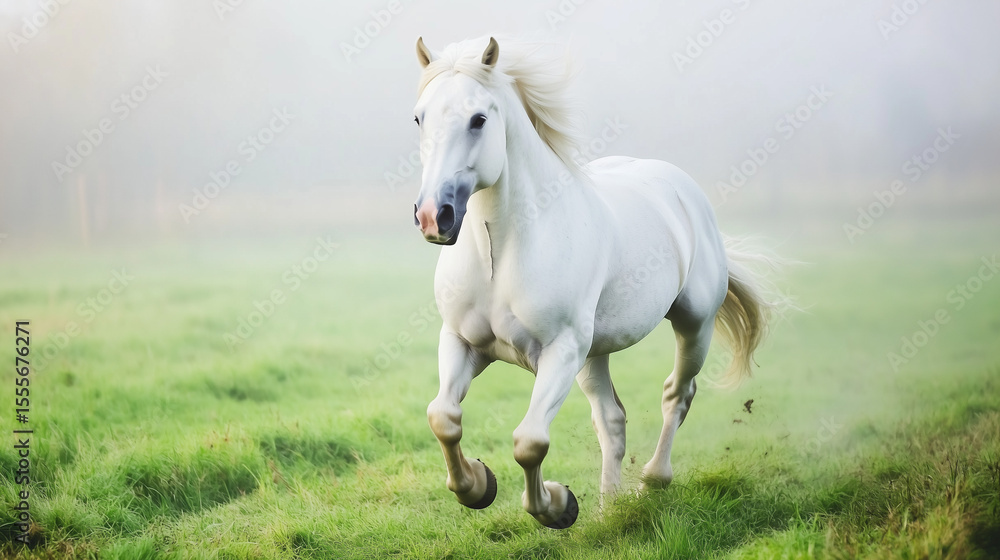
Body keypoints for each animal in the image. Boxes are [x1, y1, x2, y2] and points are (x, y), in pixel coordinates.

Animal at [410, 36, 777, 529]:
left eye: (478, 119)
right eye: (419, 117)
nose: (435, 216)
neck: (502, 253)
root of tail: (685, 193)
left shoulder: (559, 352)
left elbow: (530, 442)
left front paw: (557, 504)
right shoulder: (462, 342)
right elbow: (443, 417)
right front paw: (477, 485)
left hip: (692, 326)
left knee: (677, 395)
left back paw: (651, 482)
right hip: (594, 355)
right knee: (612, 420)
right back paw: (610, 509)